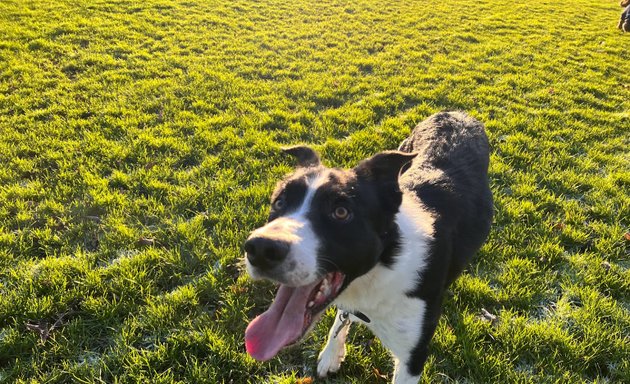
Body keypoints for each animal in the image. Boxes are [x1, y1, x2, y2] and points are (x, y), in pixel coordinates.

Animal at [242, 110, 494, 380]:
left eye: (341, 212)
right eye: (279, 202)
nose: (260, 249)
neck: (384, 267)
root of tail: (455, 113)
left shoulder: (413, 356)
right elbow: (341, 318)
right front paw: (331, 354)